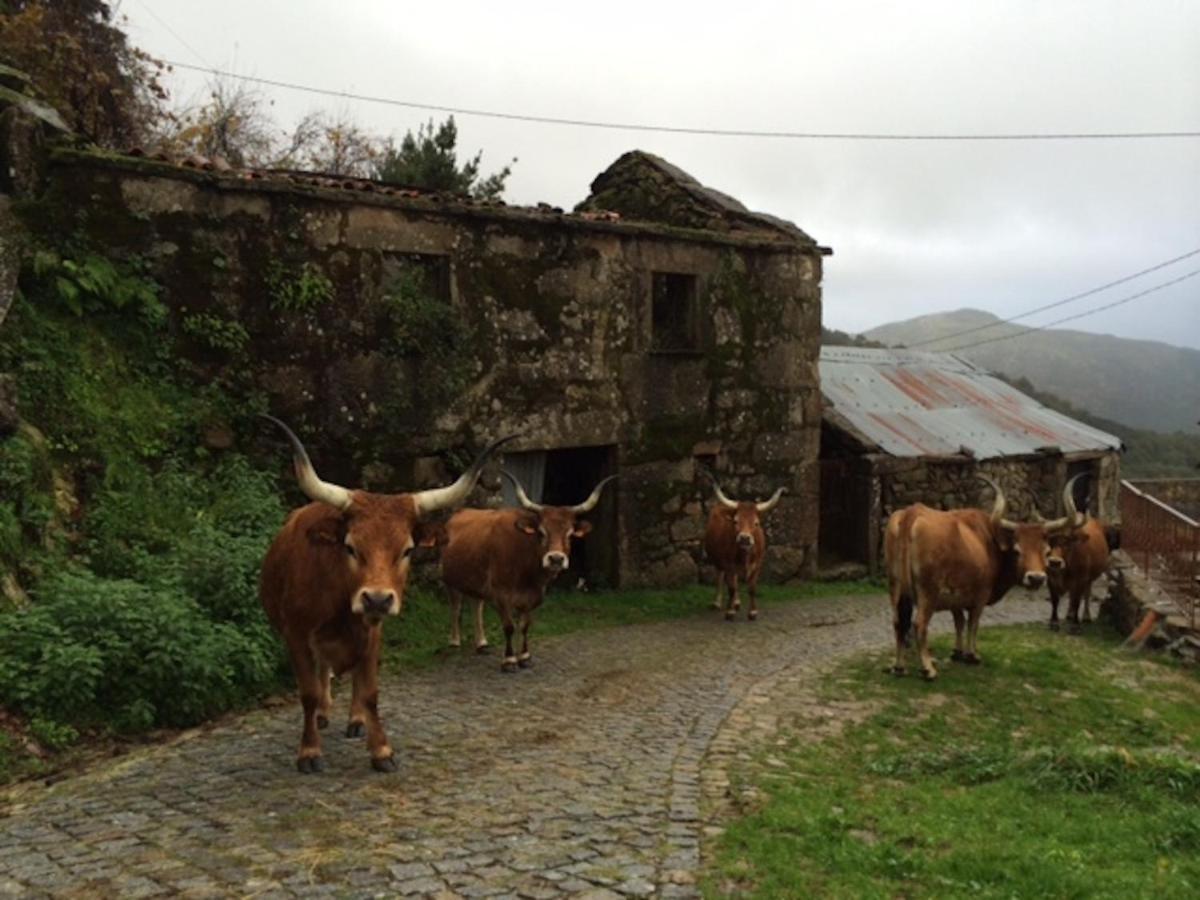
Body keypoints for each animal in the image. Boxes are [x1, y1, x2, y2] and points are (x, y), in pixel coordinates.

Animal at [258, 417, 511, 777]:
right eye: (350, 547)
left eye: (407, 550)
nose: (377, 599)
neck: (339, 605)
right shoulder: (296, 635)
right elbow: (308, 693)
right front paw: (309, 750)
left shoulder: (371, 633)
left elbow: (369, 691)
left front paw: (380, 748)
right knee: (322, 677)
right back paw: (322, 715)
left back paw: (355, 720)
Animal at [439, 472, 614, 672]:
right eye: (541, 532)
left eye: (570, 534)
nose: (556, 559)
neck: (526, 569)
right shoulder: (501, 595)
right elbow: (509, 627)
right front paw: (509, 660)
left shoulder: (533, 596)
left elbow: (524, 626)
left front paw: (524, 657)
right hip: (450, 580)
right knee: (456, 607)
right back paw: (454, 642)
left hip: (475, 580)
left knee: (476, 605)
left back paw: (482, 643)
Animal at [700, 472, 787, 628]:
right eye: (735, 521)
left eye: (756, 523)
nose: (744, 538)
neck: (745, 555)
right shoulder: (728, 564)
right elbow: (731, 588)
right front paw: (729, 612)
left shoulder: (757, 565)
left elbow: (751, 588)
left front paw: (752, 612)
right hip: (718, 561)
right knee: (720, 578)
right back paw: (718, 603)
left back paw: (736, 602)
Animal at [883, 475, 1080, 681]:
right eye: (1017, 550)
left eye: (1046, 551)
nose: (1036, 578)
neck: (989, 541)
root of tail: (912, 512)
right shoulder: (980, 597)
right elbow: (973, 623)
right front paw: (972, 655)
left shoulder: (956, 598)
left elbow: (960, 622)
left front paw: (958, 652)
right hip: (928, 593)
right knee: (919, 624)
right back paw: (928, 668)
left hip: (895, 588)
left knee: (898, 622)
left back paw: (899, 666)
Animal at [1046, 480, 1108, 633]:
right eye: (1050, 541)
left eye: (1067, 542)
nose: (1054, 562)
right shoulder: (1050, 579)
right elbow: (1055, 600)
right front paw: (1054, 622)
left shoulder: (1080, 580)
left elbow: (1077, 601)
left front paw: (1075, 625)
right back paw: (1069, 614)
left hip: (1090, 578)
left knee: (1086, 594)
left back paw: (1085, 616)